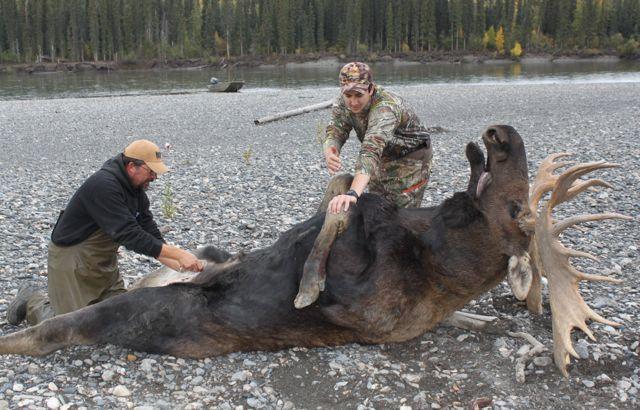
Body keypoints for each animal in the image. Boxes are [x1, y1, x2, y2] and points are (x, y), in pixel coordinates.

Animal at [0, 125, 632, 378]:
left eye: (518, 209)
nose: (503, 135)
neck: (434, 241)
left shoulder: (361, 303)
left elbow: (338, 230)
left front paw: (304, 280)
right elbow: (345, 200)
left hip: (136, 311)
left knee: (46, 329)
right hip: (155, 281)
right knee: (47, 306)